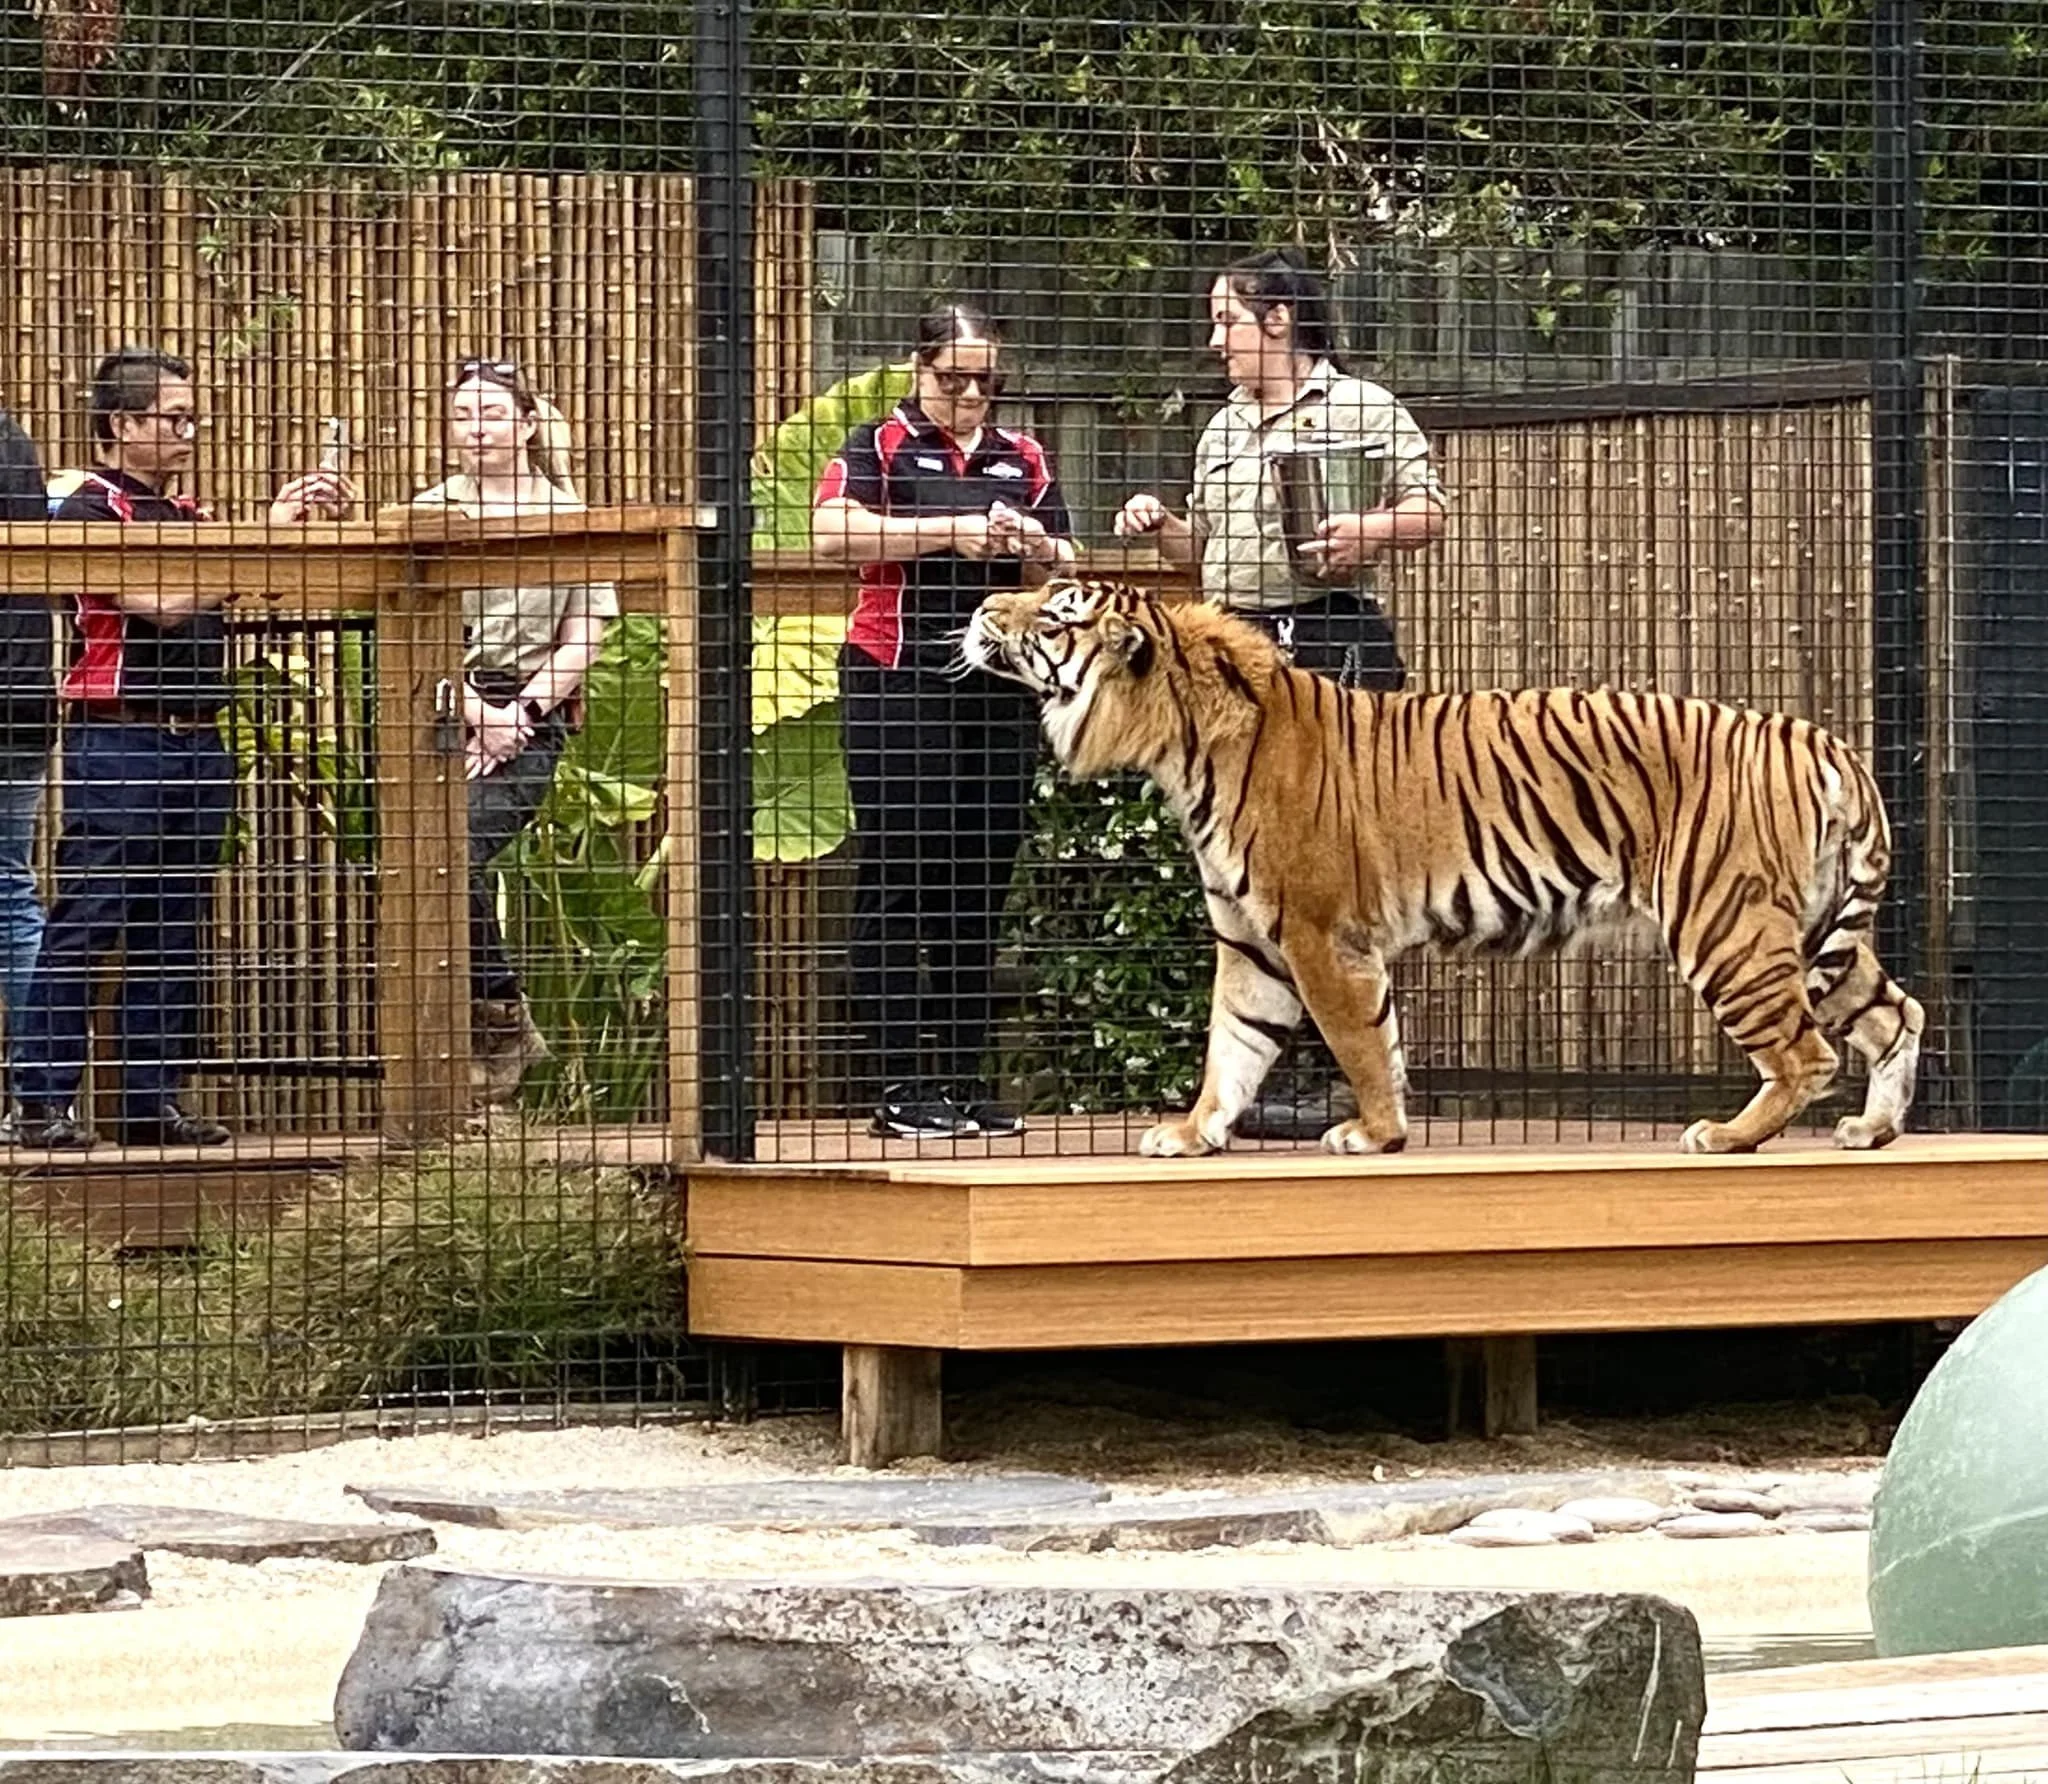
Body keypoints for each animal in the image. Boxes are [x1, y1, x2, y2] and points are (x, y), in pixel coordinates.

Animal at [963, 576, 1926, 1160]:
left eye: (1052, 616)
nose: (981, 606)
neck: (1182, 740)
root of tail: (1820, 739)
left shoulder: (1317, 936)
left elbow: (1356, 1041)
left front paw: (1372, 1134)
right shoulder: (1253, 944)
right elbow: (1234, 1046)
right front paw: (1193, 1134)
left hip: (1727, 930)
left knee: (1804, 1051)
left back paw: (1726, 1136)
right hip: (1808, 930)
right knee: (1895, 1013)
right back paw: (1871, 1131)